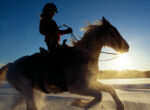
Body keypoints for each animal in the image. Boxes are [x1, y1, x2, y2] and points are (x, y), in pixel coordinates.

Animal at [0, 16, 129, 110]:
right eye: (114, 31)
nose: (127, 47)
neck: (83, 57)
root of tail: (11, 64)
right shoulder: (77, 87)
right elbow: (99, 96)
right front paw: (78, 103)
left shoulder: (91, 83)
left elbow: (110, 89)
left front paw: (120, 106)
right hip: (27, 89)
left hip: (27, 91)